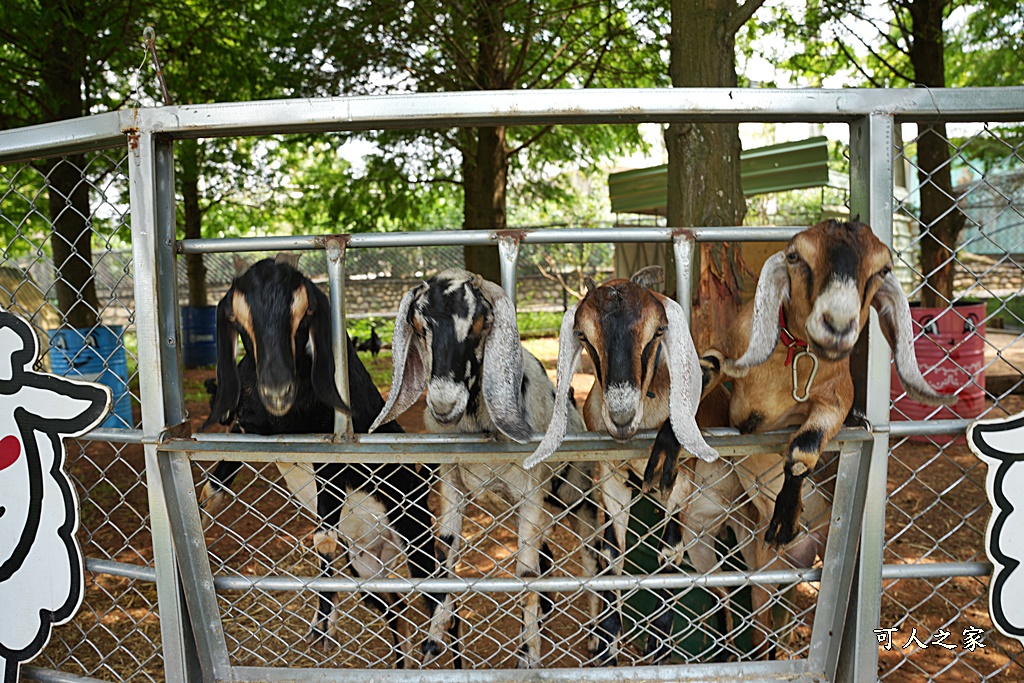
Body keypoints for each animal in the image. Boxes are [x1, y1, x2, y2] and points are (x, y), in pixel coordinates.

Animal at [201, 258, 434, 667]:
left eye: (305, 314)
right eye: (237, 320)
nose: (277, 391)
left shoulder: (332, 456)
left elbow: (324, 539)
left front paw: (323, 624)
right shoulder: (249, 430)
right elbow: (221, 471)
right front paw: (201, 507)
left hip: (418, 540)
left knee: (442, 607)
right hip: (364, 567)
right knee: (396, 607)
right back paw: (402, 661)